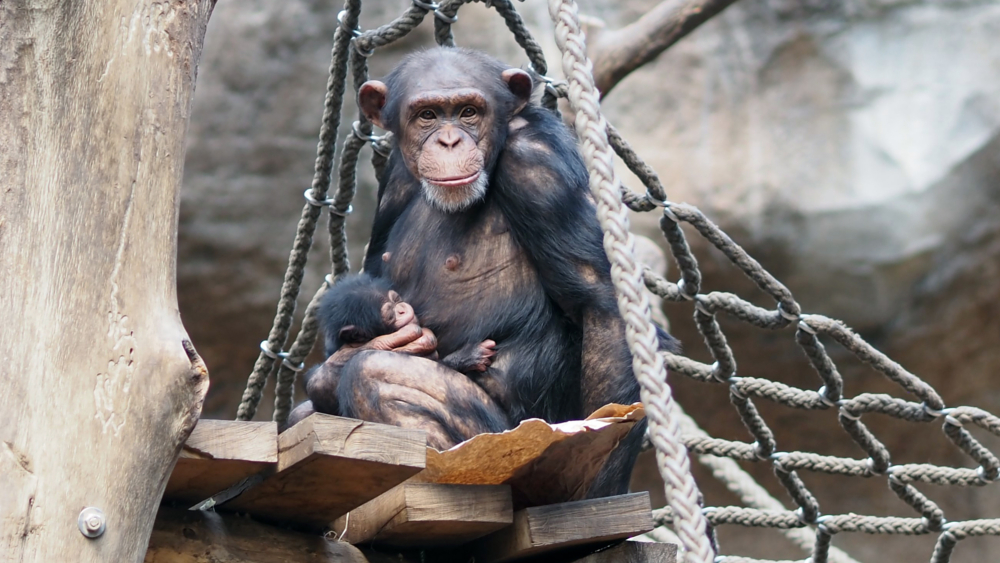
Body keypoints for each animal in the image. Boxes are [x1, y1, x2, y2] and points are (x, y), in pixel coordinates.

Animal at [304, 48, 680, 498]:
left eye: (469, 111)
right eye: (427, 115)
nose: (450, 140)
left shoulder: (536, 162)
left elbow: (601, 301)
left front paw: (598, 488)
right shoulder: (395, 175)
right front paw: (337, 363)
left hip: (513, 440)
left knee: (376, 375)